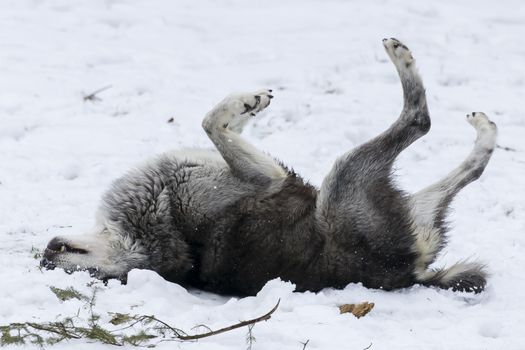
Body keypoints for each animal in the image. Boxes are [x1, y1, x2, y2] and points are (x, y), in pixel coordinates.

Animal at [41, 38, 496, 296]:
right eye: (92, 277)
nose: (45, 254)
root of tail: (412, 274)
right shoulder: (268, 178)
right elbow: (212, 122)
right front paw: (244, 103)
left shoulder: (258, 170)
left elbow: (222, 125)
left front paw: (251, 104)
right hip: (346, 176)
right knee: (419, 120)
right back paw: (405, 62)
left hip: (395, 198)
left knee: (469, 167)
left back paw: (485, 131)